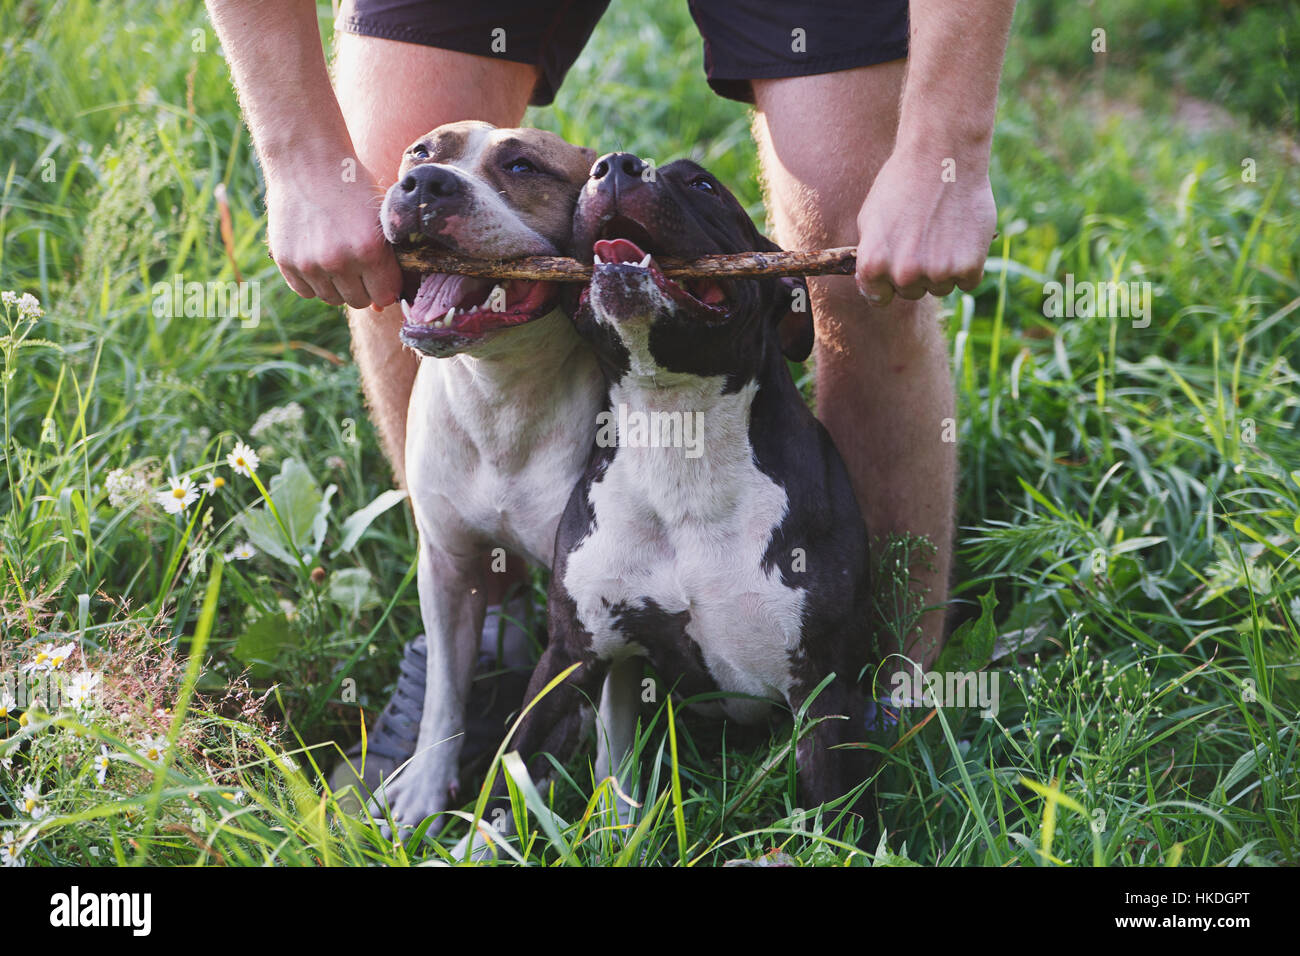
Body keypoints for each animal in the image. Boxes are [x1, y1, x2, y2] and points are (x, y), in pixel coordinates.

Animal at [374, 121, 600, 832]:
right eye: (422, 151)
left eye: (523, 166)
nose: (425, 184)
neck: (502, 392)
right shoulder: (448, 566)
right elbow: (445, 690)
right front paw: (423, 790)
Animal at [501, 153, 878, 816]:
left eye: (703, 184)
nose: (616, 164)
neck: (678, 431)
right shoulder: (570, 658)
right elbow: (510, 787)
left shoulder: (826, 689)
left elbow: (836, 816)